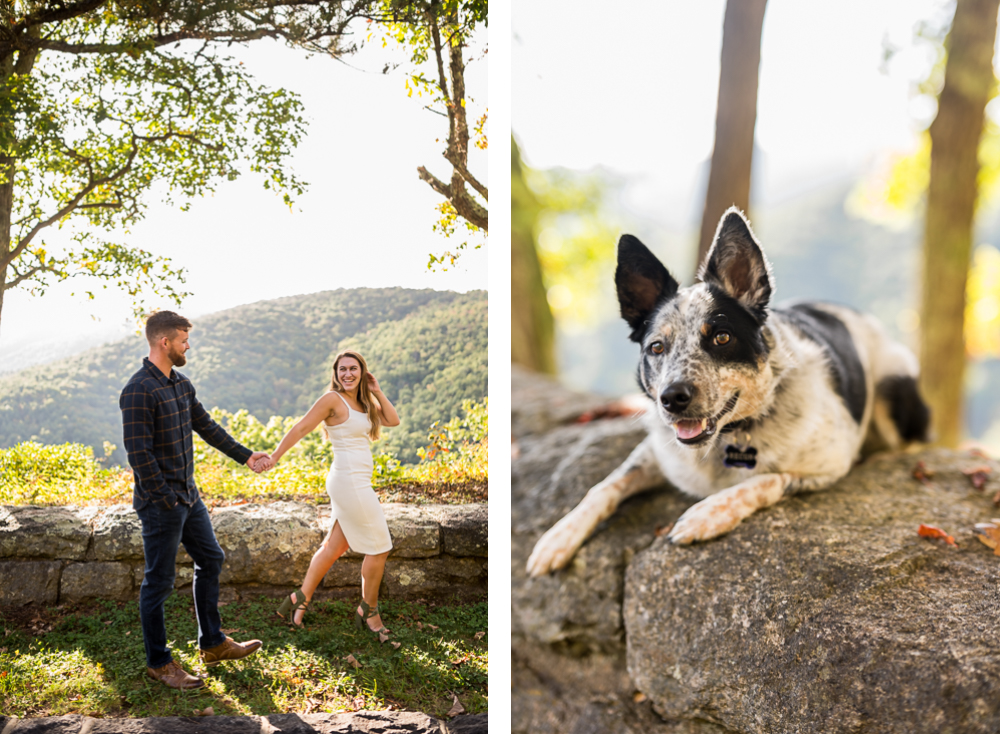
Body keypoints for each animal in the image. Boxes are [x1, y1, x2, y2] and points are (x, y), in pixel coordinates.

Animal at [528, 208, 924, 580]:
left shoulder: (830, 463)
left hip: (894, 383)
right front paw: (559, 536)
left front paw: (707, 513)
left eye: (721, 337)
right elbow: (605, 485)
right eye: (656, 347)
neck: (726, 439)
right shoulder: (656, 452)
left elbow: (765, 480)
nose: (672, 397)